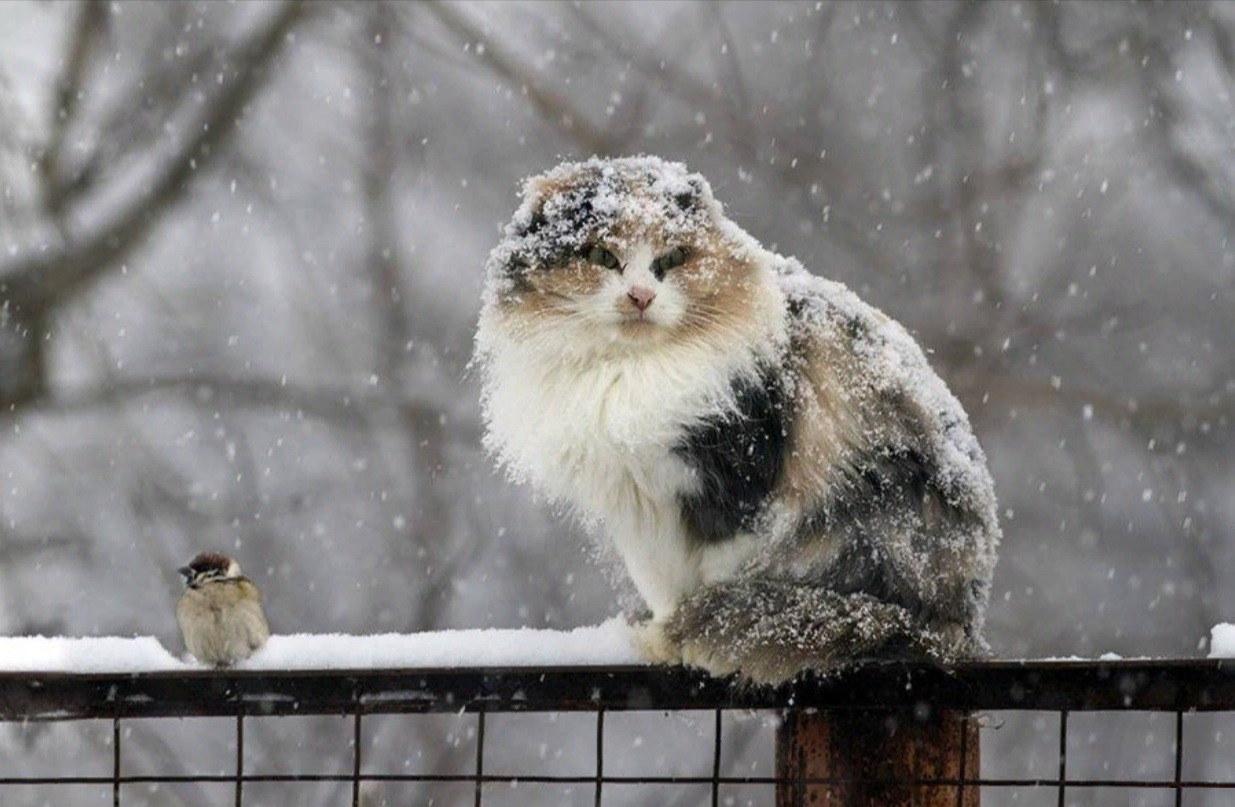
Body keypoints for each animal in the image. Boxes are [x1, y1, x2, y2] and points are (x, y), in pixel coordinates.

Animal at [474, 154, 1002, 682]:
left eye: (672, 259)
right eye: (603, 256)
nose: (641, 296)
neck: (629, 375)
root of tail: (958, 626)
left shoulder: (737, 487)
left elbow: (714, 578)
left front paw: (679, 639)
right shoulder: (637, 509)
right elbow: (663, 588)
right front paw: (662, 639)